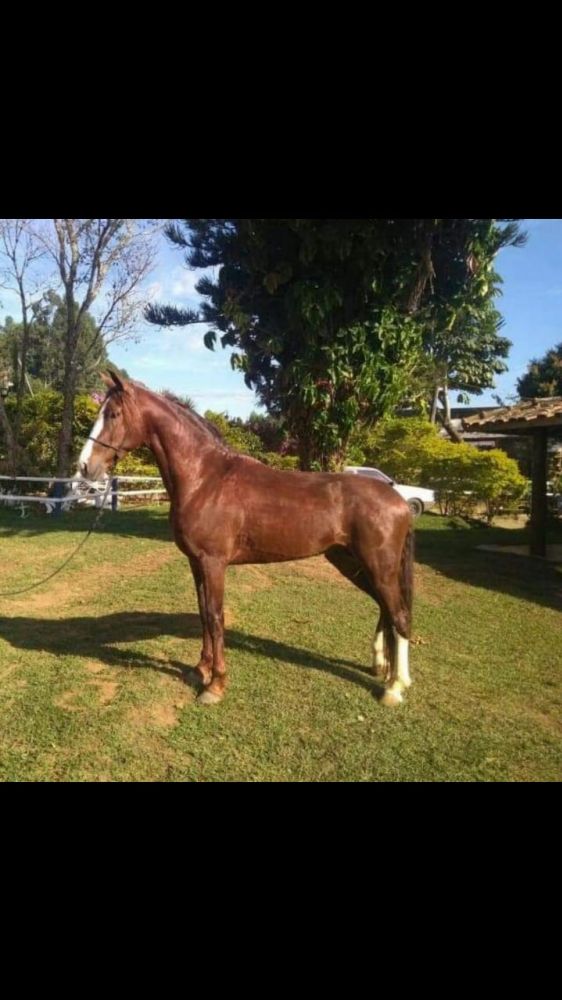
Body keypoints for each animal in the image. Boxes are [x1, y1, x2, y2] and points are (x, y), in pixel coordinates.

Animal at [78, 371, 414, 707]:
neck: (205, 479)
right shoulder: (196, 563)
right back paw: (382, 667)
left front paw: (215, 685)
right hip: (352, 563)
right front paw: (200, 669)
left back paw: (395, 687)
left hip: (379, 567)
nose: (84, 467)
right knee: (386, 609)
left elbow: (215, 617)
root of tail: (399, 500)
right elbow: (203, 613)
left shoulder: (214, 564)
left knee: (399, 615)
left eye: (113, 414)